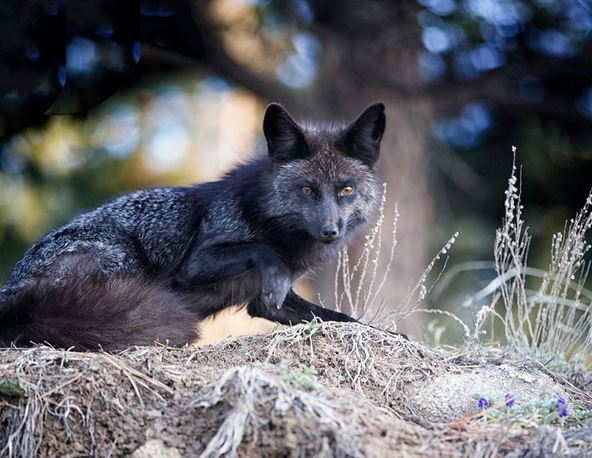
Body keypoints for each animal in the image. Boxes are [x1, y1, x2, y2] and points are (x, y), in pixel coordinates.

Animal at [0, 102, 386, 348]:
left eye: (346, 190)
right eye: (307, 189)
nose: (330, 231)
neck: (273, 222)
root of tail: (12, 296)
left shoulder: (267, 305)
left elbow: (345, 321)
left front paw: (387, 335)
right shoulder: (194, 265)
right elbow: (260, 249)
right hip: (122, 258)